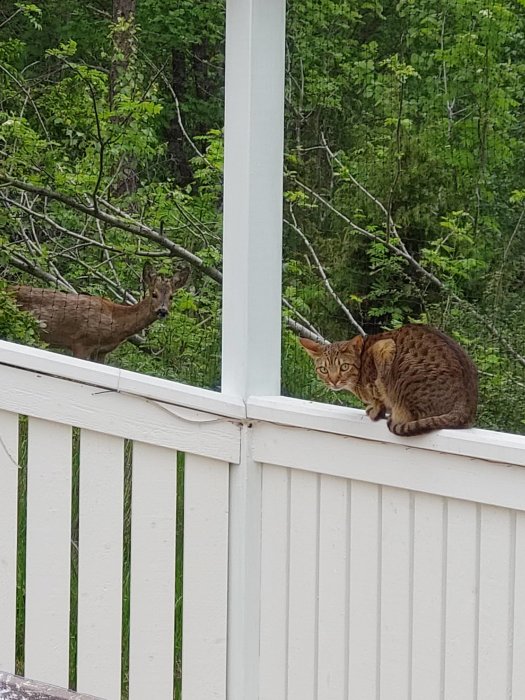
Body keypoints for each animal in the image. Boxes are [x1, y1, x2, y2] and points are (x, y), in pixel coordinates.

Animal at [11, 262, 190, 364]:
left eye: (171, 296)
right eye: (154, 294)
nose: (162, 310)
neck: (115, 321)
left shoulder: (101, 351)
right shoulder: (81, 341)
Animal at [296, 324, 476, 434]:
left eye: (344, 367)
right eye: (323, 369)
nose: (334, 381)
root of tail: (465, 406)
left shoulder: (382, 349)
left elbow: (379, 397)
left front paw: (374, 410)